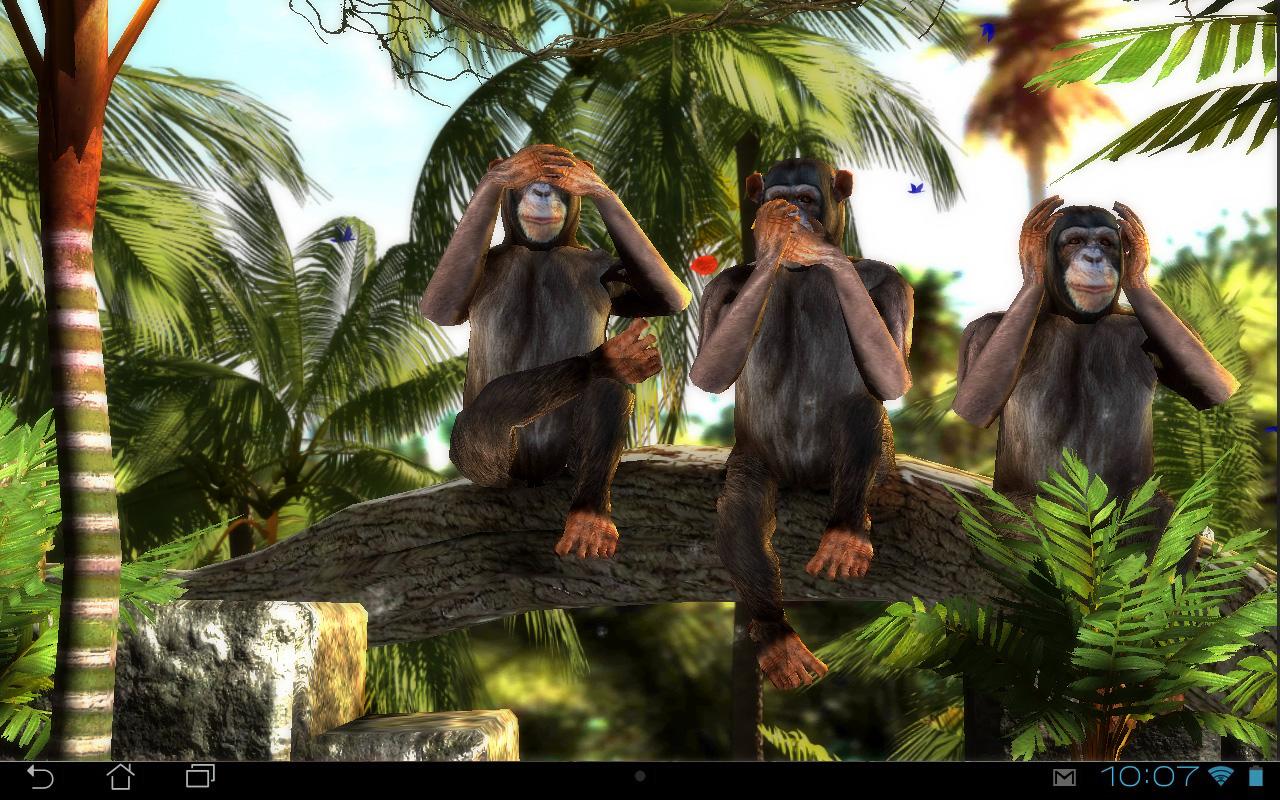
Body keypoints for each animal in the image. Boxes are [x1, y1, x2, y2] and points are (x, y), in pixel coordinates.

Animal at [420, 144, 692, 559]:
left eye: (557, 178)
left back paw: (589, 513)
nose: (544, 189)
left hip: (567, 463)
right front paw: (506, 171)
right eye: (530, 178)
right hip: (489, 467)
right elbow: (441, 304)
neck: (540, 250)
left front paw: (590, 180)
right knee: (485, 418)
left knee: (608, 390)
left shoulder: (604, 266)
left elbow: (671, 296)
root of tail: (538, 479)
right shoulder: (482, 265)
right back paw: (608, 361)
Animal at [690, 158, 914, 691]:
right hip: (760, 464)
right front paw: (772, 241)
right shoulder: (721, 287)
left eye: (808, 199)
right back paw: (776, 636)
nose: (794, 217)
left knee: (862, 413)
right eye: (781, 197)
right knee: (742, 509)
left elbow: (891, 375)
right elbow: (708, 372)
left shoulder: (891, 284)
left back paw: (846, 531)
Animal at [952, 197, 1237, 546]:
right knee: (1018, 522)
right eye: (1074, 241)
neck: (1078, 318)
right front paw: (1031, 252)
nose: (1093, 257)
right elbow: (971, 405)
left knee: (1160, 512)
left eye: (1105, 242)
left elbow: (1214, 385)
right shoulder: (981, 332)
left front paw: (1137, 258)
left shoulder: (1174, 329)